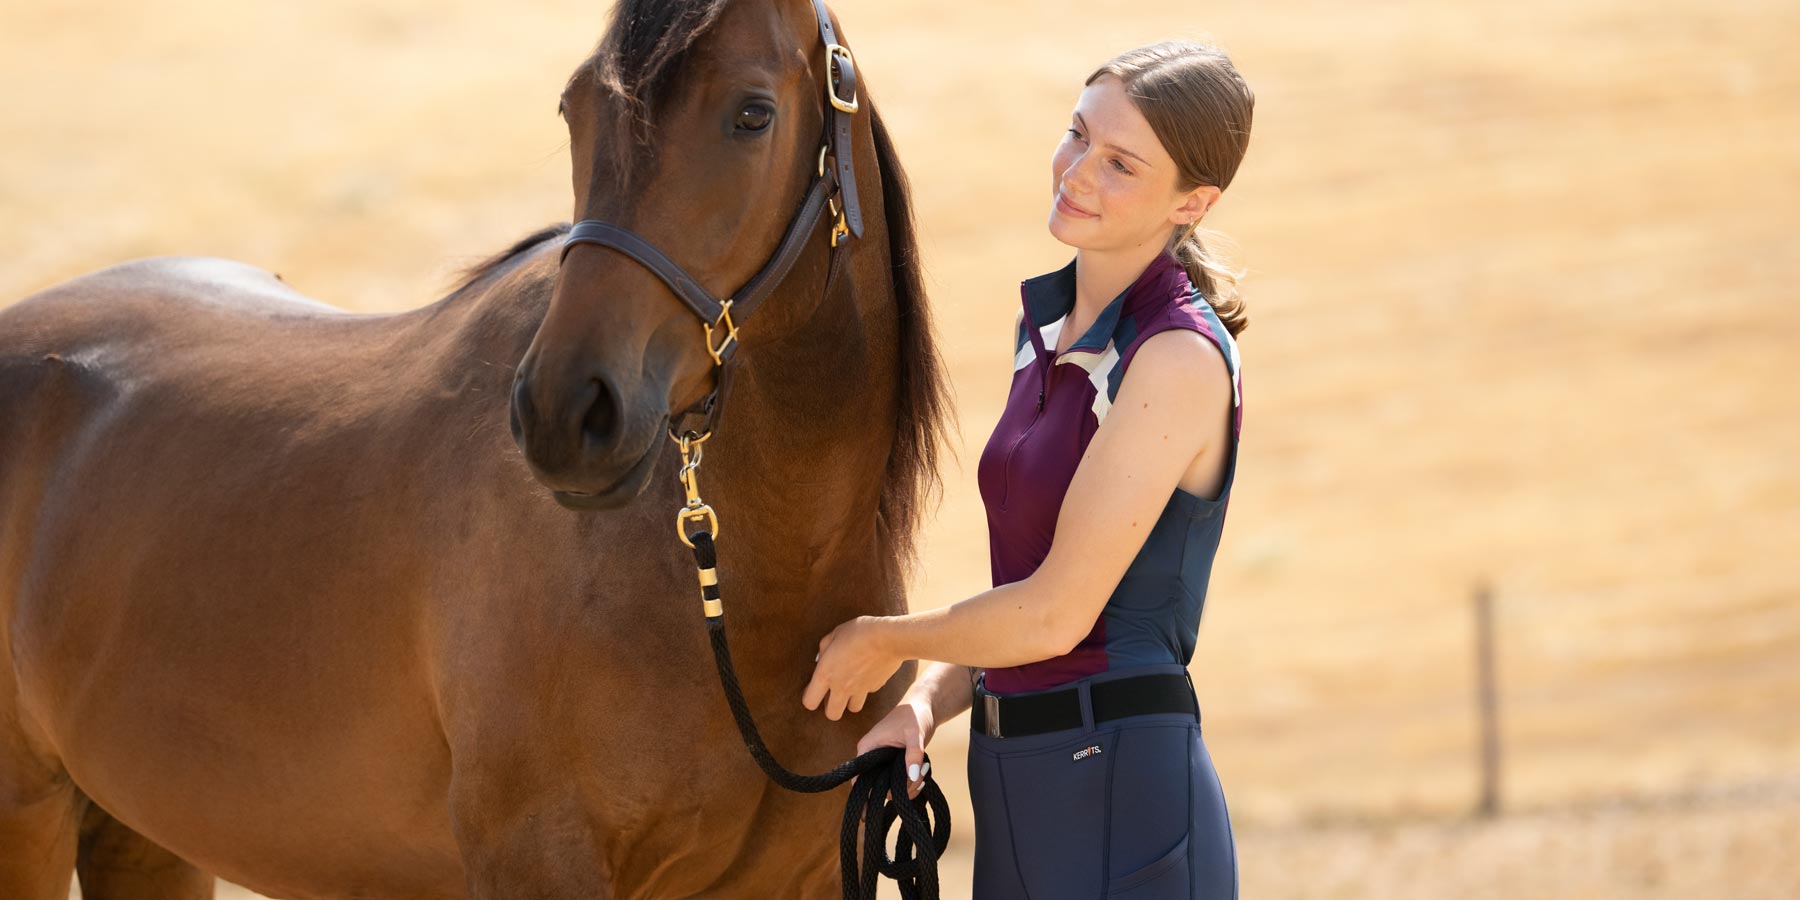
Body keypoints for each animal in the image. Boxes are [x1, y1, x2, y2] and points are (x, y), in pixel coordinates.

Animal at [0, 1, 957, 892]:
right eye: (574, 108)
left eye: (753, 113)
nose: (564, 413)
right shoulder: (536, 861)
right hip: (32, 819)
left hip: (141, 833)